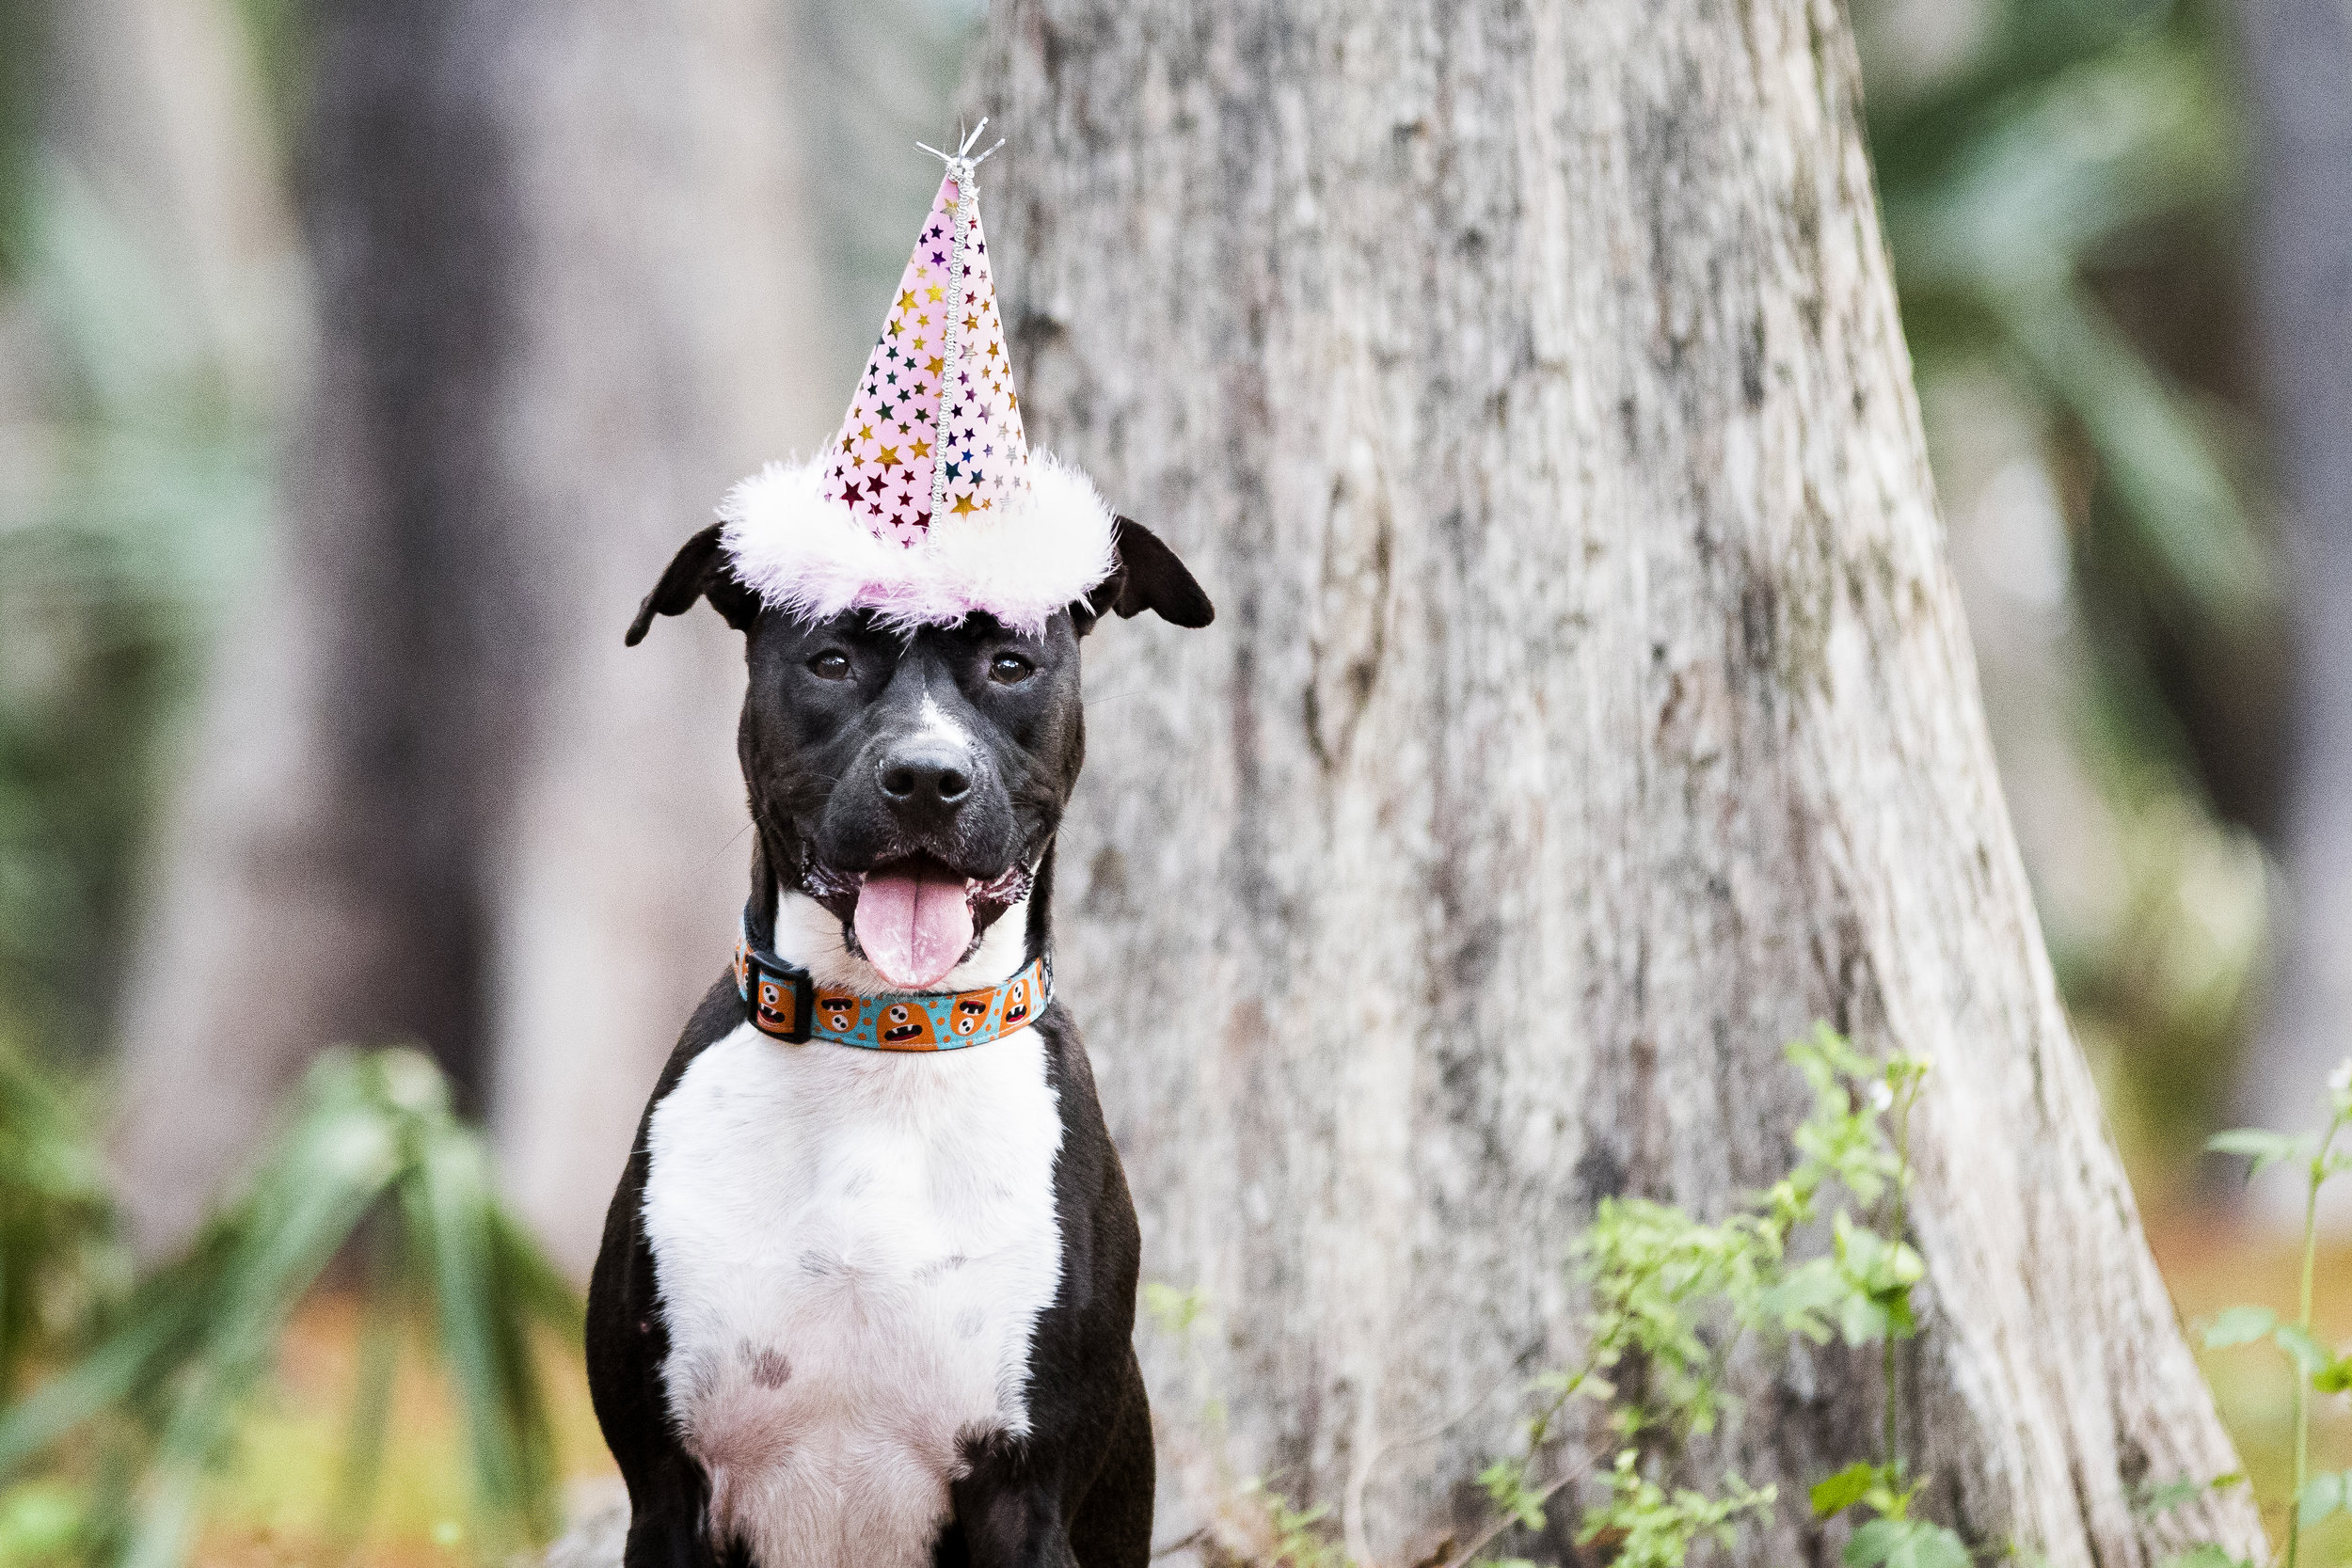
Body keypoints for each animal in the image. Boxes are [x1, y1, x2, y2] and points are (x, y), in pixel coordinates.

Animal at [585, 516, 1214, 1568]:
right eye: (832, 660)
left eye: (1010, 664)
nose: (926, 776)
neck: (885, 1039)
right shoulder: (667, 1492)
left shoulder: (1026, 1496)